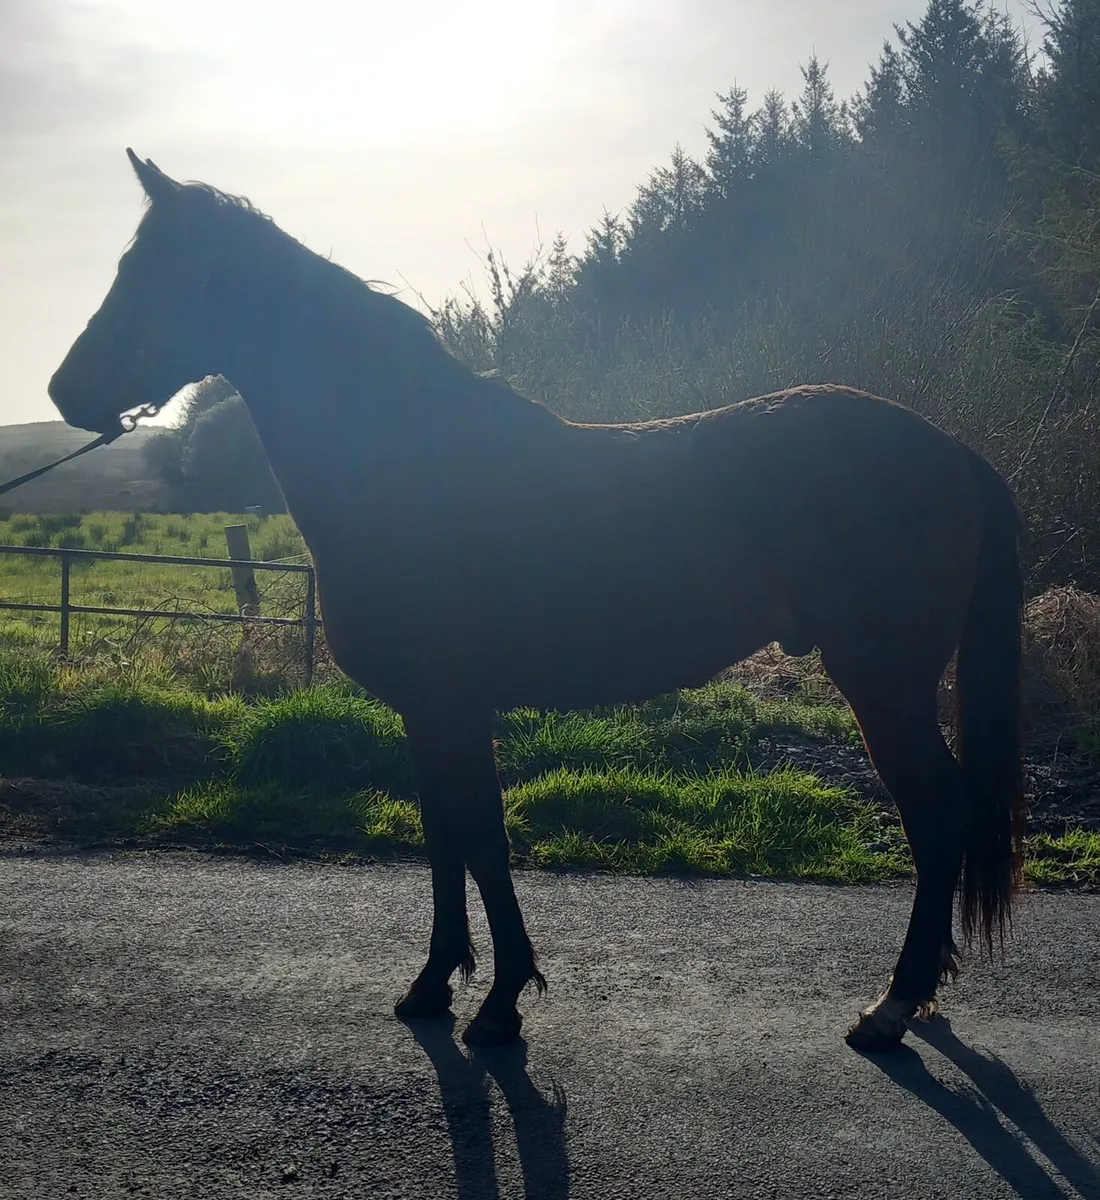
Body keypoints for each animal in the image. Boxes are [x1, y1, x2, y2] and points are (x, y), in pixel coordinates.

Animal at [47, 150, 1025, 1052]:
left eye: (161, 272)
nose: (64, 390)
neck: (413, 464)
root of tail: (950, 451)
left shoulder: (453, 705)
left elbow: (483, 839)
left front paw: (502, 999)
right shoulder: (425, 711)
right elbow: (445, 839)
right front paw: (434, 984)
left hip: (882, 681)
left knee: (938, 814)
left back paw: (891, 1007)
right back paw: (918, 994)